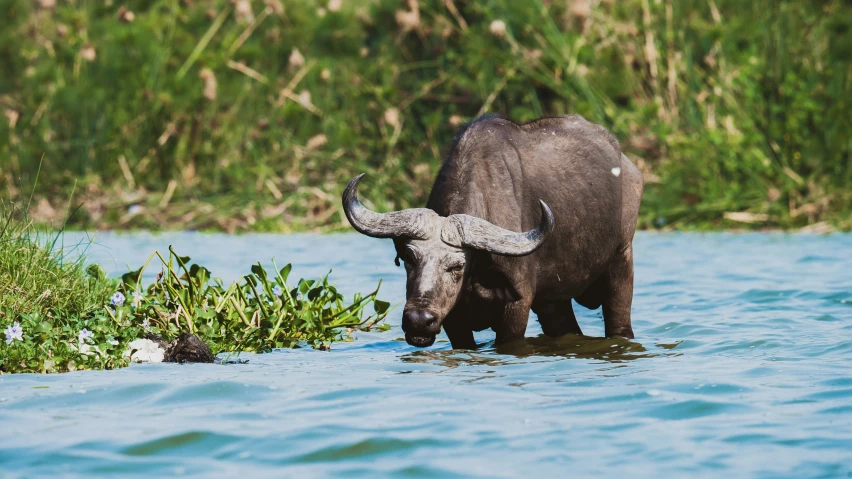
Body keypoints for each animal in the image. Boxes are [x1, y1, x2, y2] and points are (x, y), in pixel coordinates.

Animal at [342, 115, 644, 348]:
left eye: (457, 266)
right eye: (408, 259)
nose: (419, 321)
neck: (478, 271)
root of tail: (629, 168)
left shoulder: (517, 306)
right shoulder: (454, 319)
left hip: (621, 259)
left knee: (619, 320)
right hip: (554, 301)